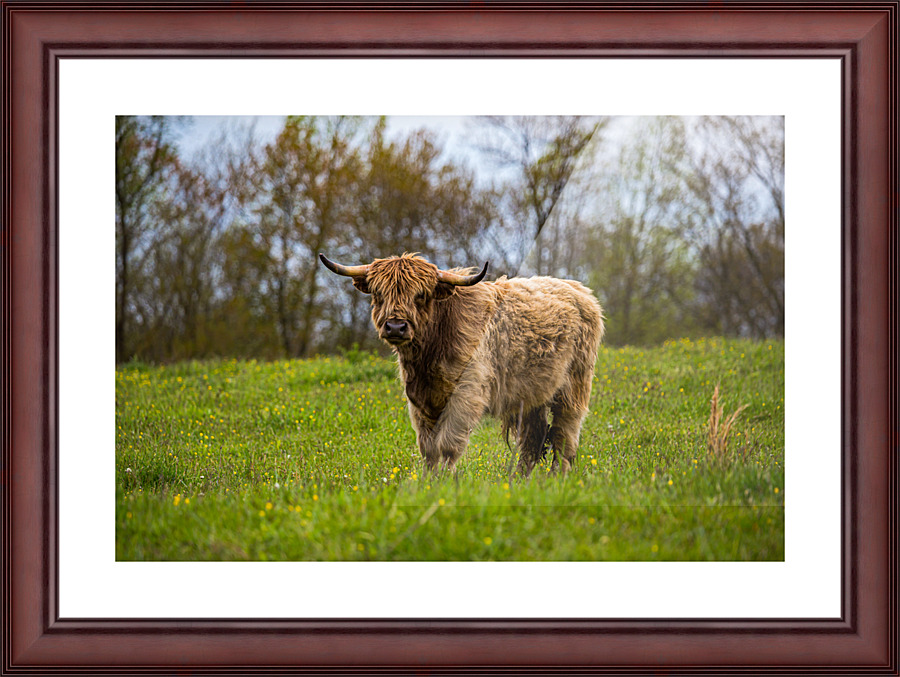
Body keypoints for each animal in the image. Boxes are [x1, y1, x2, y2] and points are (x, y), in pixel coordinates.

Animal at [319, 252, 604, 476]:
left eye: (421, 295)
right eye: (378, 294)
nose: (396, 327)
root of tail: (581, 291)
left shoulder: (467, 395)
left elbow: (447, 444)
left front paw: (445, 481)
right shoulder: (421, 401)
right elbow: (428, 448)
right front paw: (429, 481)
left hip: (573, 388)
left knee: (564, 436)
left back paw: (557, 478)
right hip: (533, 394)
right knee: (533, 440)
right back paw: (518, 481)